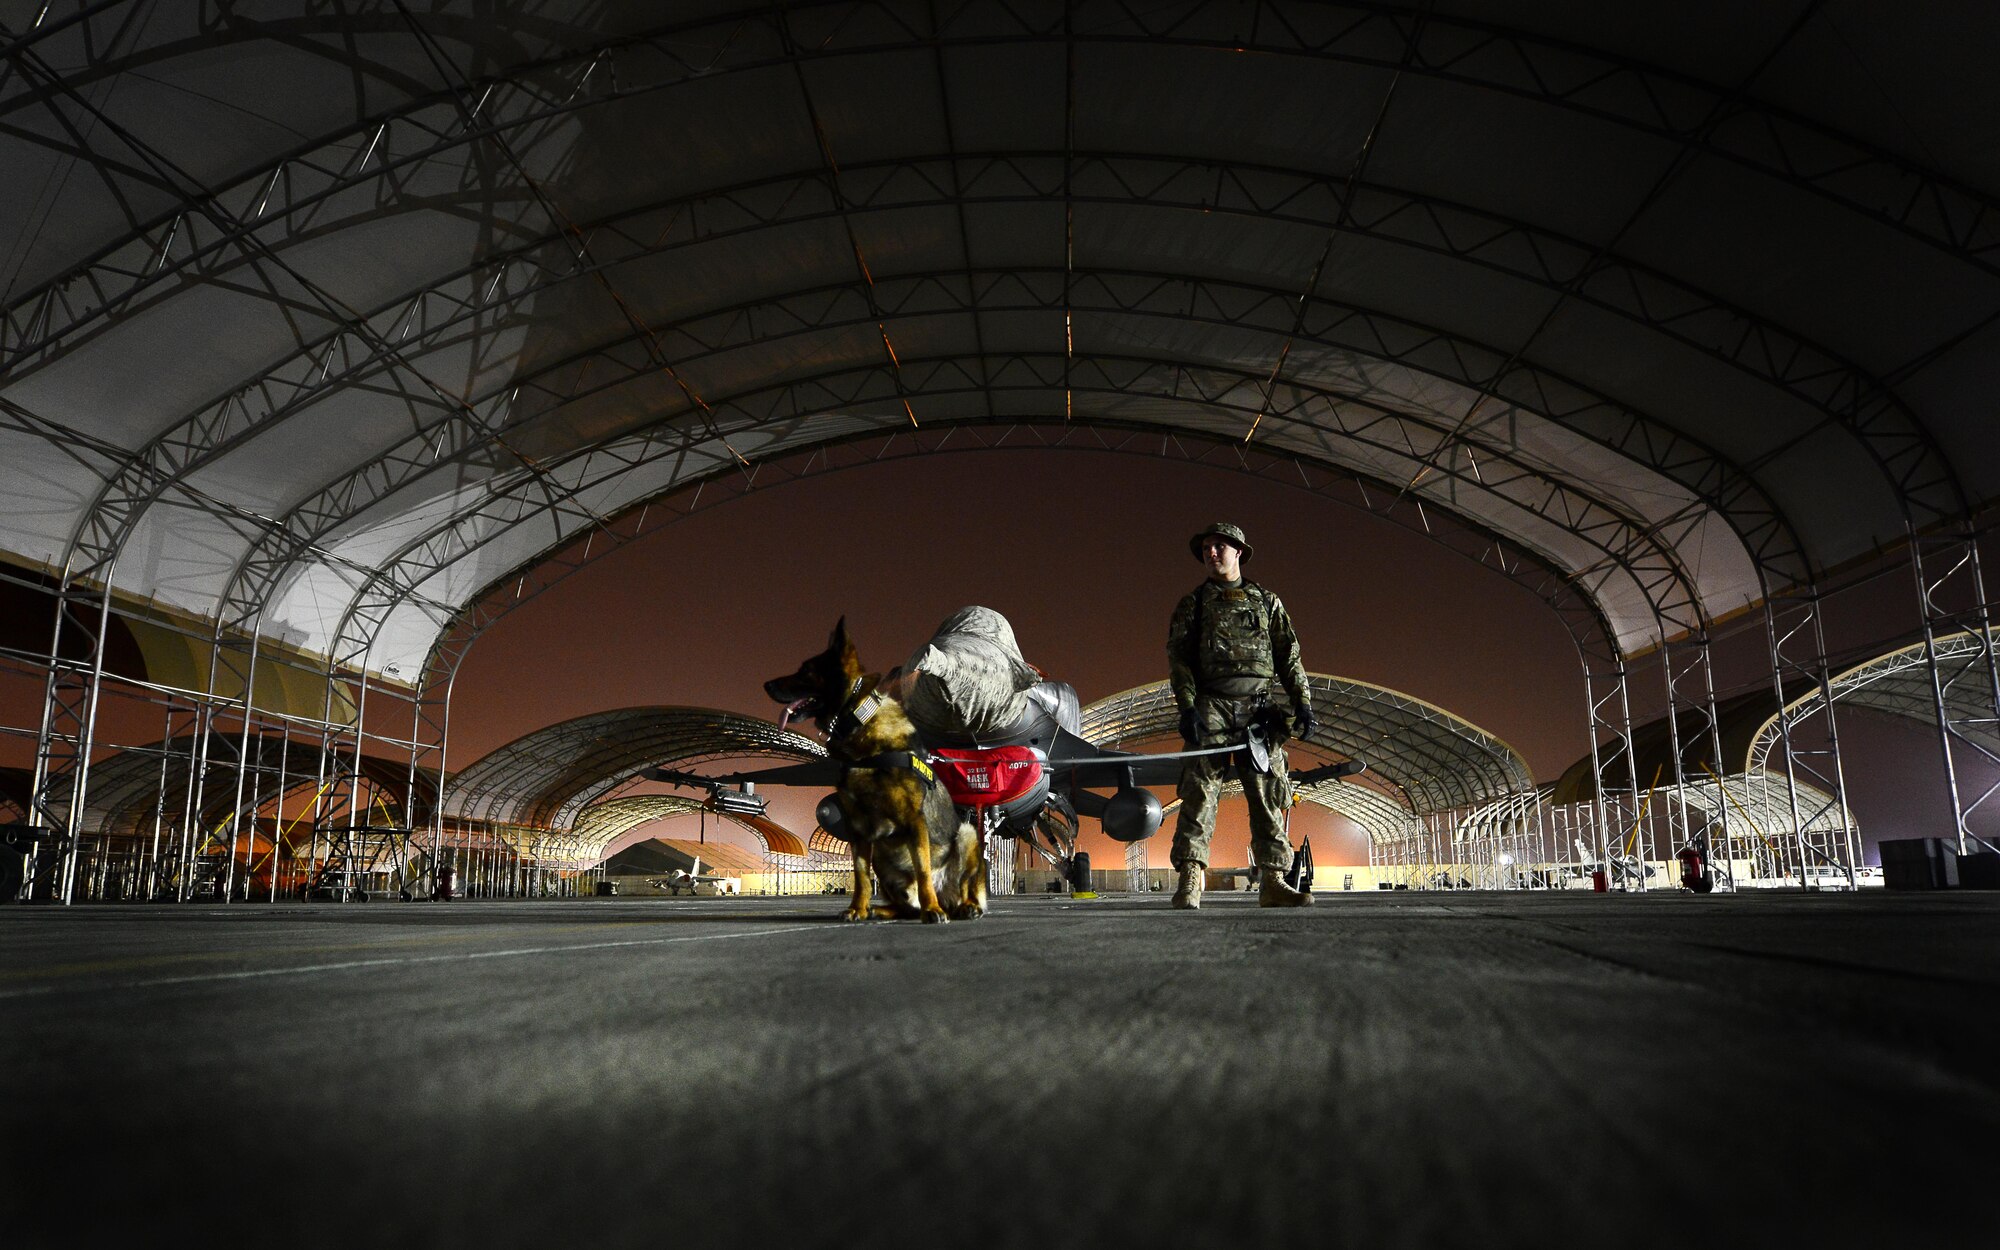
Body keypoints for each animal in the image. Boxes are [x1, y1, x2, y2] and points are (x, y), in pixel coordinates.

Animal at [760, 620, 988, 920]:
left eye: (806, 671)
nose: (766, 684)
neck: (860, 723)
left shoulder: (915, 822)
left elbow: (924, 871)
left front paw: (932, 910)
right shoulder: (858, 829)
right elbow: (861, 877)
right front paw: (857, 908)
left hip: (967, 835)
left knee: (963, 886)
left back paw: (963, 907)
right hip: (881, 854)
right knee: (905, 906)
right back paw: (880, 910)